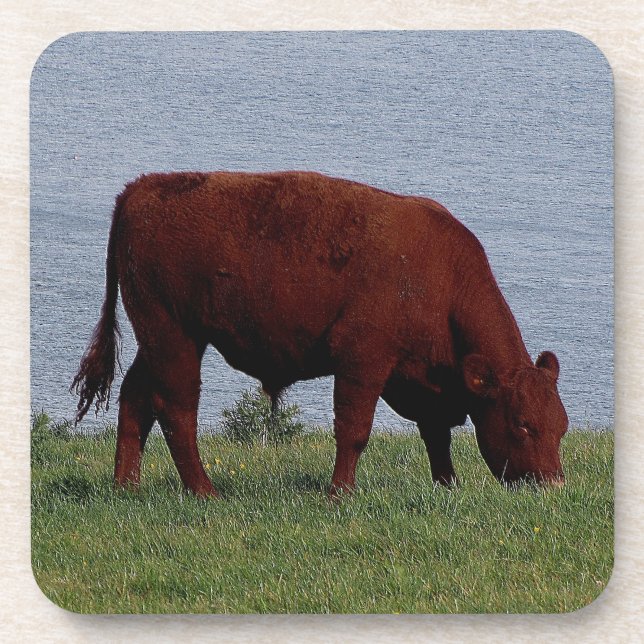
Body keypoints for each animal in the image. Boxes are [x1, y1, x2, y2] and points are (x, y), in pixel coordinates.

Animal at [72, 171, 568, 498]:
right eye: (523, 424)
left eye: (561, 426)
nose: (553, 484)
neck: (439, 276)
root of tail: (141, 188)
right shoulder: (363, 361)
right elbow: (354, 430)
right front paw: (341, 492)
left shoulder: (424, 381)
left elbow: (436, 435)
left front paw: (448, 487)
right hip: (175, 337)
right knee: (176, 410)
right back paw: (204, 491)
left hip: (157, 340)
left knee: (135, 398)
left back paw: (126, 486)